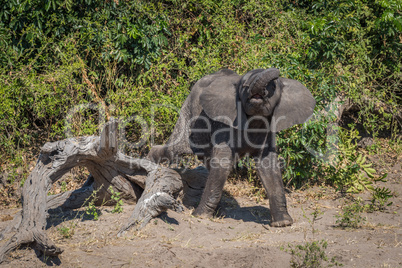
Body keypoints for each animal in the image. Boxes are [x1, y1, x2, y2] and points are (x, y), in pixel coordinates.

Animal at [148, 67, 314, 226]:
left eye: (273, 88)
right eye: (244, 86)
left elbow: (268, 165)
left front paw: (283, 223)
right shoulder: (225, 123)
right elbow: (222, 163)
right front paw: (200, 216)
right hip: (189, 111)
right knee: (174, 149)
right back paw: (148, 164)